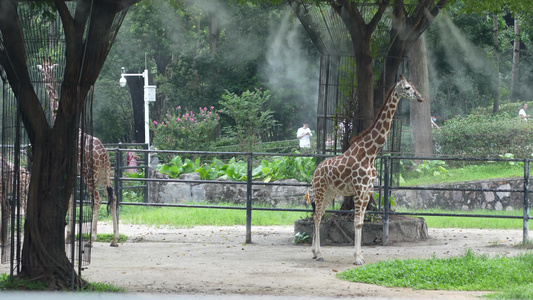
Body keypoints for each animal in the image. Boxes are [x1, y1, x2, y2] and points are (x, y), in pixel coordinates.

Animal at [36, 57, 118, 247]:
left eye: (45, 69)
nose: (43, 76)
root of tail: (104, 154)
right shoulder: (73, 173)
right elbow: (72, 200)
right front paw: (68, 236)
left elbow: (70, 200)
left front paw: (68, 236)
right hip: (104, 173)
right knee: (114, 197)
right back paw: (115, 239)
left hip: (90, 173)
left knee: (97, 199)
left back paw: (91, 239)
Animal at [310, 75, 422, 264]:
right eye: (407, 88)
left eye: (414, 86)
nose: (420, 97)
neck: (371, 153)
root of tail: (316, 171)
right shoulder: (359, 188)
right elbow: (356, 222)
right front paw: (357, 258)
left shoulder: (369, 189)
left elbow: (361, 222)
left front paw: (361, 255)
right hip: (320, 189)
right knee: (317, 216)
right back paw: (318, 254)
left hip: (330, 192)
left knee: (318, 215)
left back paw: (315, 252)